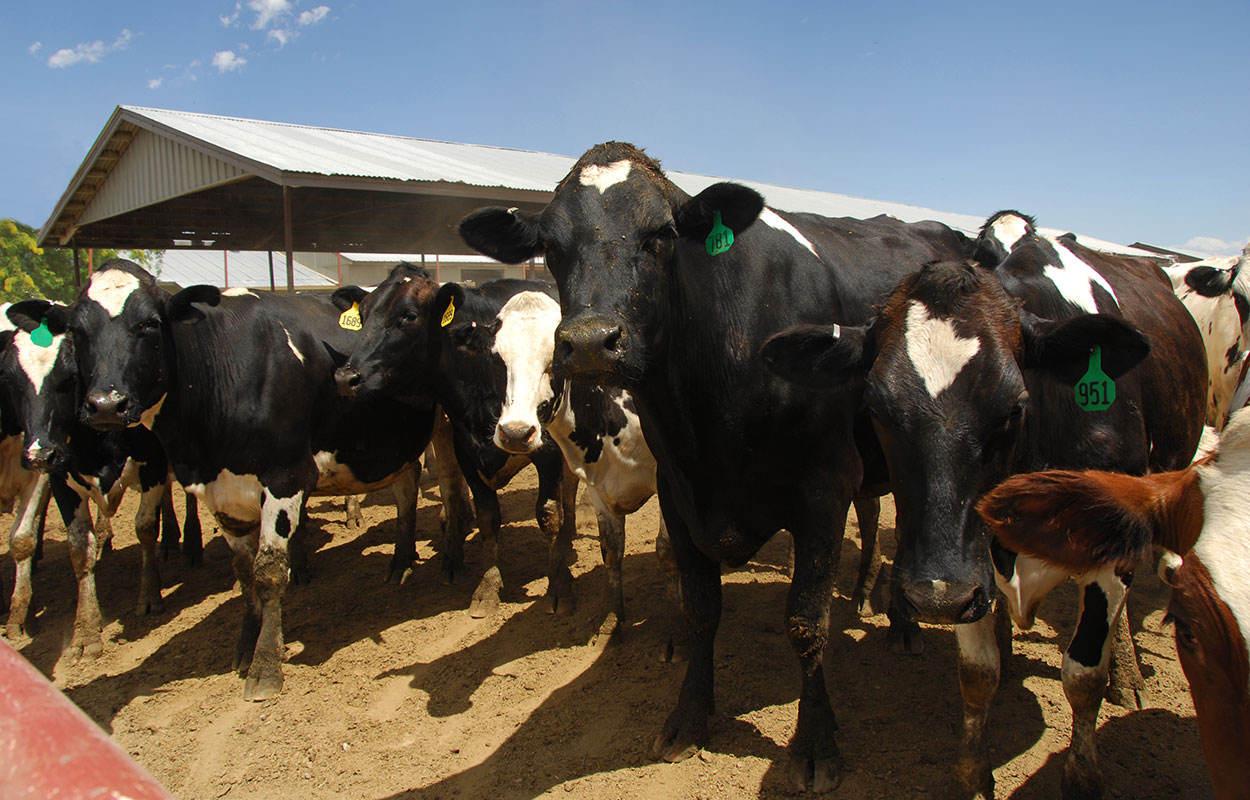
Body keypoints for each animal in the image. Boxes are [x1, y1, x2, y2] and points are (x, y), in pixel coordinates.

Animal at [68, 261, 440, 700]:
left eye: (149, 323)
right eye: (76, 330)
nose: (106, 404)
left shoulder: (285, 478)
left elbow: (269, 573)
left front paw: (266, 667)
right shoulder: (222, 493)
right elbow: (245, 574)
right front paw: (248, 644)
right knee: (406, 485)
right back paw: (401, 560)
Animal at [335, 268, 582, 620]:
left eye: (408, 316)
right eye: (364, 314)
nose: (346, 377)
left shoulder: (547, 450)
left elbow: (549, 516)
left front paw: (559, 587)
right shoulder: (465, 448)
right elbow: (488, 519)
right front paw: (487, 588)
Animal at [455, 143, 970, 795]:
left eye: (661, 234)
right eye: (549, 243)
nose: (592, 342)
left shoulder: (823, 493)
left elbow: (807, 622)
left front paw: (815, 744)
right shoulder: (678, 494)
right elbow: (700, 610)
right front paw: (689, 717)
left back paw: (902, 624)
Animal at [765, 210, 1205, 795]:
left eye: (1015, 407)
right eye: (875, 408)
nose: (933, 597)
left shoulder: (1100, 560)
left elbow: (1083, 675)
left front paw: (1082, 774)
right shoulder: (970, 564)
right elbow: (978, 674)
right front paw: (972, 774)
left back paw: (1127, 673)